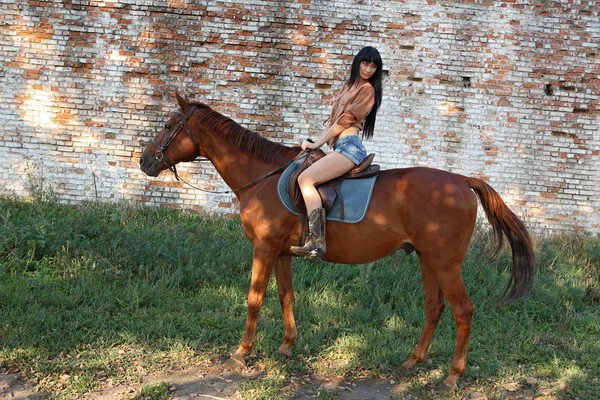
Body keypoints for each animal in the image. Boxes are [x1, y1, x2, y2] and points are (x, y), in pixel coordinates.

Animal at [141, 94, 536, 390]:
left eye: (167, 126)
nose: (145, 161)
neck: (263, 176)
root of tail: (461, 180)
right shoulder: (282, 252)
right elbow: (286, 295)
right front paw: (287, 346)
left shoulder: (264, 248)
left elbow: (254, 298)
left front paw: (242, 353)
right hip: (427, 258)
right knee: (434, 307)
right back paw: (413, 361)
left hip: (445, 262)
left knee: (463, 310)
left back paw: (452, 376)